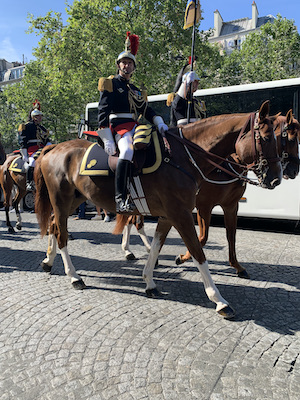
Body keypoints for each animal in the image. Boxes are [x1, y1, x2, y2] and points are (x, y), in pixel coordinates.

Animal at [34, 102, 282, 318]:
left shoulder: (168, 216)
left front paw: (150, 282)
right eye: (266, 138)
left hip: (74, 201)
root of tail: (54, 147)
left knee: (54, 226)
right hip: (61, 200)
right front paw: (219, 300)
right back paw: (74, 277)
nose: (276, 178)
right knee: (62, 234)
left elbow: (156, 247)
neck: (183, 157)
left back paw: (48, 262)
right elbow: (198, 254)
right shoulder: (182, 215)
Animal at [175, 111, 298, 276]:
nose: (294, 170)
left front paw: (236, 265)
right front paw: (183, 257)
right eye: (291, 139)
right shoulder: (204, 207)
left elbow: (231, 235)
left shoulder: (231, 206)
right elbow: (201, 238)